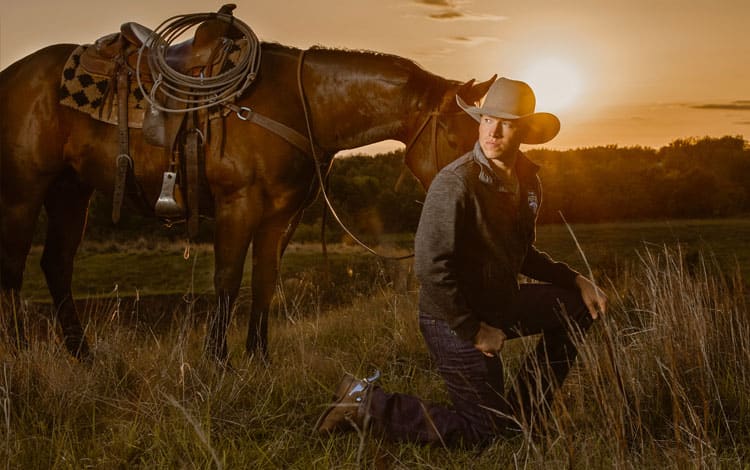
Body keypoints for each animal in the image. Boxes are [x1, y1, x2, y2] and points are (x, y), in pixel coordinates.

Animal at [0, 23, 494, 364]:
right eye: (456, 135)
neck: (299, 104)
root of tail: (13, 73)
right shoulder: (239, 204)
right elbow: (227, 279)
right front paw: (217, 361)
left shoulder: (280, 216)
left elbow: (264, 282)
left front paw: (259, 358)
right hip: (23, 192)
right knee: (12, 270)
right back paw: (19, 355)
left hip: (70, 191)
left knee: (56, 265)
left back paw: (84, 357)